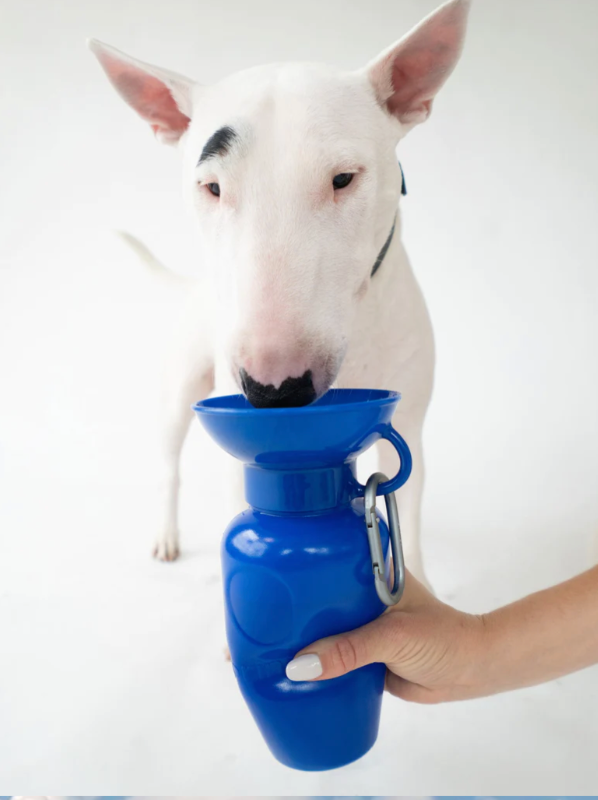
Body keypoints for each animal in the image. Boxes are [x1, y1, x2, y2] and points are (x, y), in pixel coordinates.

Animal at [89, 0, 474, 588]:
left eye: (344, 178)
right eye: (212, 187)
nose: (275, 390)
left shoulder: (408, 417)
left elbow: (403, 495)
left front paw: (423, 588)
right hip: (182, 386)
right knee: (169, 464)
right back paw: (166, 535)